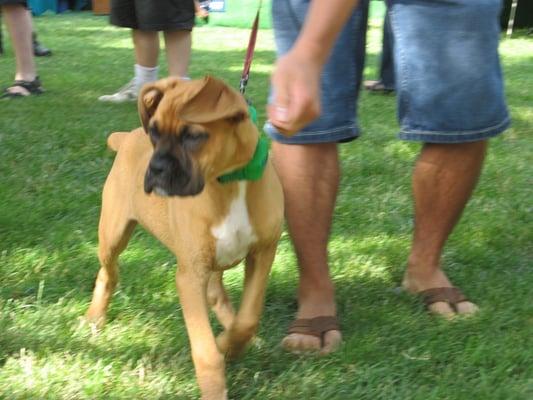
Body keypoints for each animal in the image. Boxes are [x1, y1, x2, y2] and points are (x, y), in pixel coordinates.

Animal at [84, 76, 282, 398]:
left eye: (193, 136)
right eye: (154, 131)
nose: (155, 169)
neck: (231, 182)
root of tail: (126, 138)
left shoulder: (263, 255)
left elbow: (247, 319)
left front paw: (230, 345)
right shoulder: (189, 276)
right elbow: (206, 351)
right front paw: (216, 380)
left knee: (218, 296)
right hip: (113, 235)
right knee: (107, 274)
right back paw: (95, 318)